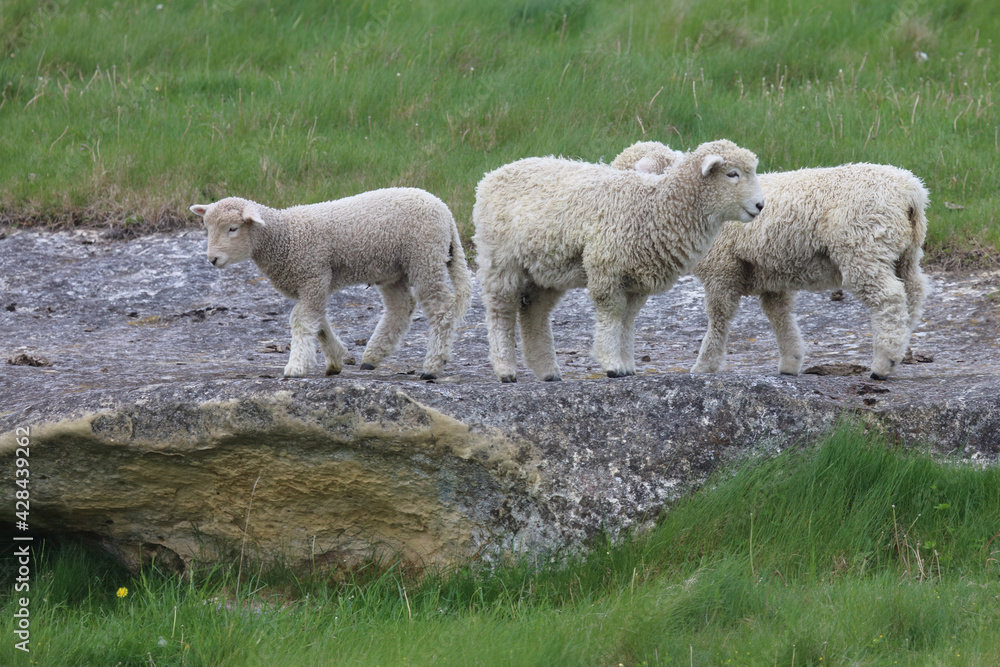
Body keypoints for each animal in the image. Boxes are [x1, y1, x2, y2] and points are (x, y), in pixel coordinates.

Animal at [190, 188, 473, 379]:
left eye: (233, 228)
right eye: (207, 228)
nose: (213, 259)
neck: (286, 236)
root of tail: (445, 210)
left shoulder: (313, 275)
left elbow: (302, 320)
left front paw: (295, 367)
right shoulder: (313, 283)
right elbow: (318, 322)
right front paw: (335, 360)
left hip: (425, 257)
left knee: (441, 308)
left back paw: (432, 366)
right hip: (393, 269)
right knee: (401, 306)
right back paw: (372, 356)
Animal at [472, 139, 765, 382]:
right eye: (732, 174)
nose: (761, 205)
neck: (654, 206)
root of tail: (491, 175)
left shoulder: (635, 280)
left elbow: (627, 319)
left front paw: (626, 366)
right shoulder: (606, 267)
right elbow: (612, 314)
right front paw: (611, 363)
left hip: (547, 268)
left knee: (533, 310)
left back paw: (547, 371)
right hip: (500, 257)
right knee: (500, 310)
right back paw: (505, 369)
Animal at [612, 141, 929, 380]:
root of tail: (911, 191)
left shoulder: (721, 267)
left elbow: (719, 317)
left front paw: (705, 365)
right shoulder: (770, 275)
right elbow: (780, 316)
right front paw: (791, 361)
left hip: (864, 246)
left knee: (889, 298)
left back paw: (883, 364)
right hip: (905, 252)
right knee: (913, 293)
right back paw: (900, 347)